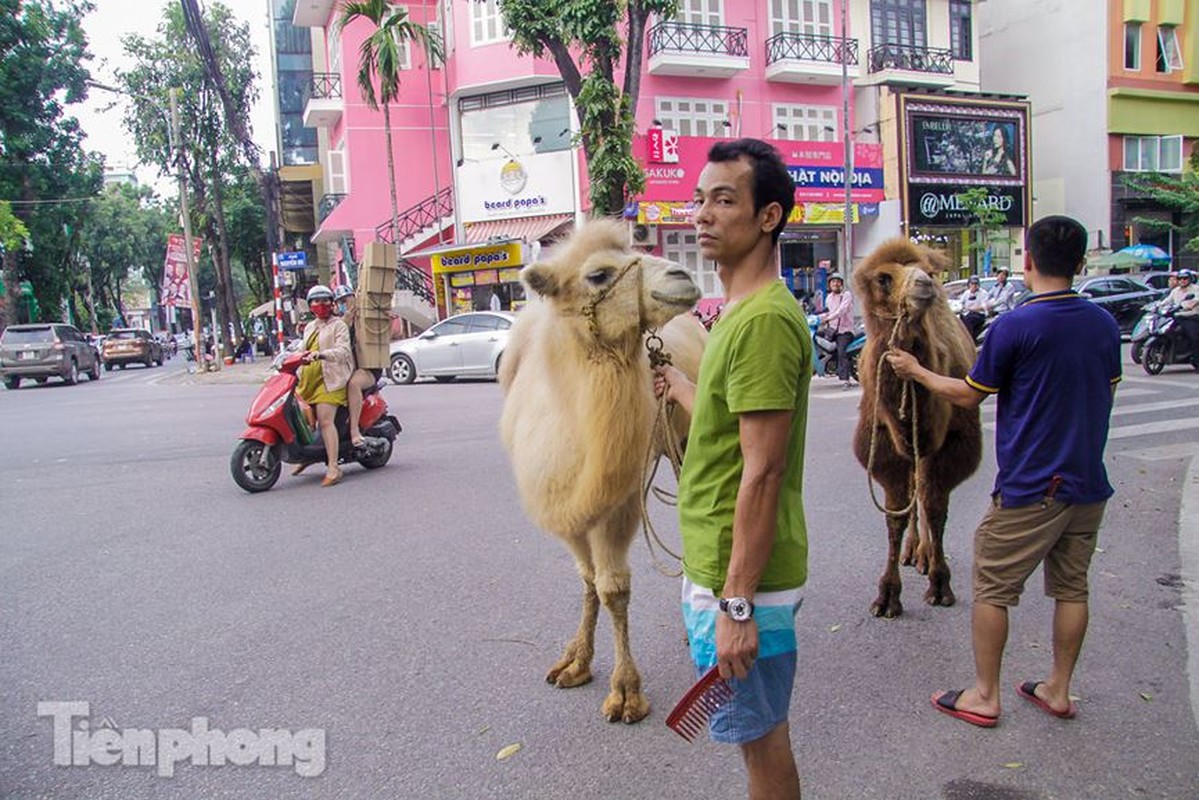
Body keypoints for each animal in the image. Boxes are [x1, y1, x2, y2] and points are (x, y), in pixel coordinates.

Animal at [493, 220, 700, 724]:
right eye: (599, 274)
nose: (684, 275)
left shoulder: (619, 502)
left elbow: (614, 590)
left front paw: (626, 694)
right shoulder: (566, 510)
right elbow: (587, 582)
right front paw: (575, 662)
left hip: (682, 442)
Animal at [848, 241, 978, 623]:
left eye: (929, 271)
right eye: (884, 278)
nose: (925, 284)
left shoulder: (951, 445)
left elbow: (935, 507)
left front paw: (939, 584)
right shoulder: (885, 448)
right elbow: (895, 517)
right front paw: (887, 596)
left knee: (922, 490)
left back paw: (924, 556)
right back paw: (912, 552)